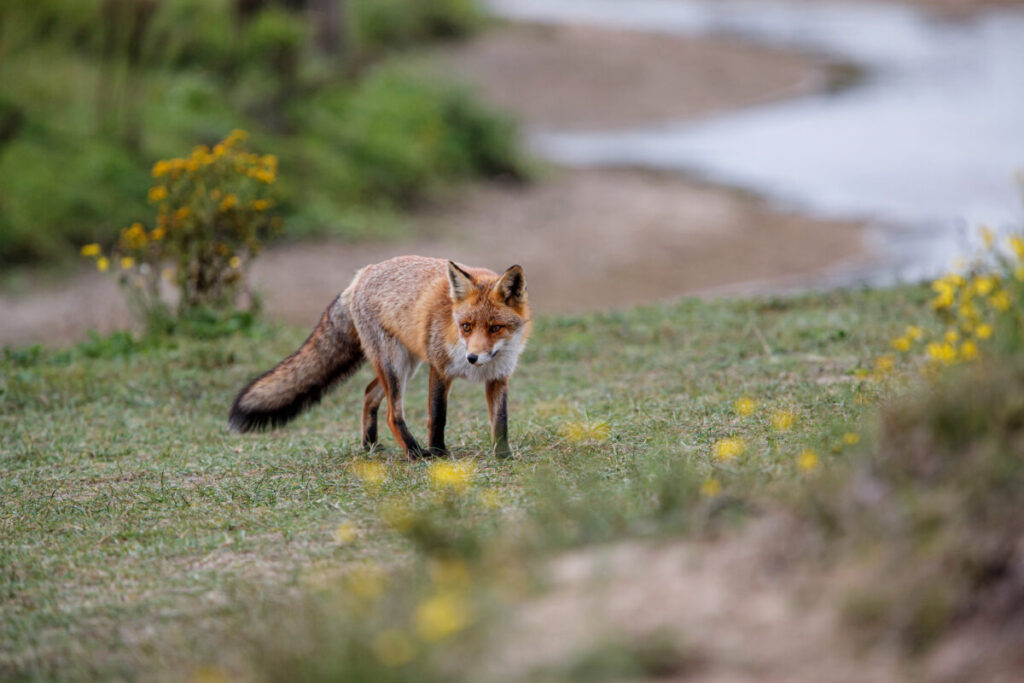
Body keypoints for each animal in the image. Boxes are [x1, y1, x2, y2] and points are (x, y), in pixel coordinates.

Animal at [228, 256, 531, 458]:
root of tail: (361, 274)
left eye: (495, 328)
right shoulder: (440, 369)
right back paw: (415, 453)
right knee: (392, 414)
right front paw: (439, 453)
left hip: (404, 366)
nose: (472, 358)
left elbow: (501, 422)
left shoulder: (499, 378)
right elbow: (438, 416)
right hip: (395, 365)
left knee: (369, 392)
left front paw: (504, 456)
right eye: (466, 327)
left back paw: (370, 444)